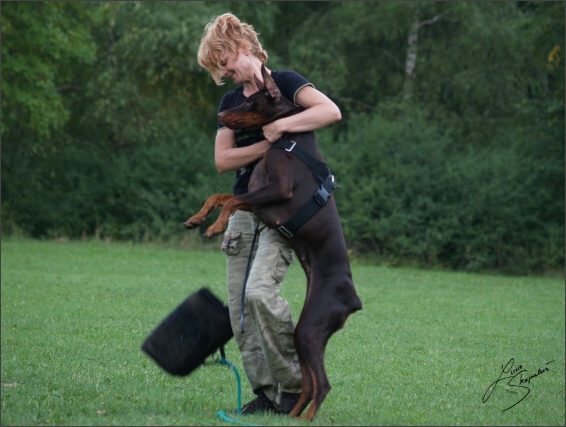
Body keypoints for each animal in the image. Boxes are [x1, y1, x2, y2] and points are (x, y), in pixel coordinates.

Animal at [186, 66, 364, 422]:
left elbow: (230, 201)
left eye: (250, 102)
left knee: (323, 384)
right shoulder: (257, 197)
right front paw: (198, 219)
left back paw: (305, 420)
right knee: (310, 383)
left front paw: (215, 226)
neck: (285, 136)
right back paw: (292, 415)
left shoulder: (278, 192)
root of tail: (353, 300)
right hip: (304, 332)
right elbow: (220, 196)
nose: (219, 115)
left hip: (311, 330)